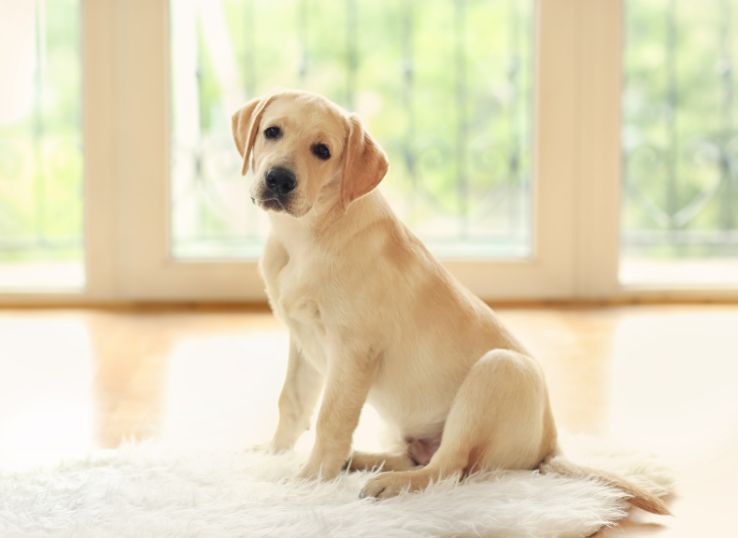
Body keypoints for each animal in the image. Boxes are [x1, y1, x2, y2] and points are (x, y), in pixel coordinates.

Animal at [231, 90, 668, 512]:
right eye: (272, 132)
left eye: (322, 150)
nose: (278, 179)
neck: (304, 235)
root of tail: (550, 446)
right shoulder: (302, 339)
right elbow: (291, 402)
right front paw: (272, 455)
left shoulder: (353, 350)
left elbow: (331, 419)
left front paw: (308, 480)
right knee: (415, 456)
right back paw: (361, 461)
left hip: (498, 372)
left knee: (446, 468)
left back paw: (387, 482)